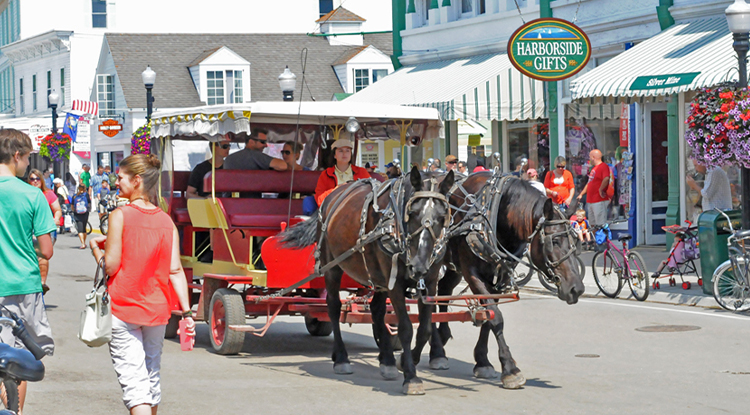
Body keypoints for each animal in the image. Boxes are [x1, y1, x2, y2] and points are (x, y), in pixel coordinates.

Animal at [280, 167, 456, 394]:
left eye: (443, 216)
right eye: (413, 213)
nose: (418, 265)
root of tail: (332, 196)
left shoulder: (430, 282)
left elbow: (424, 329)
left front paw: (404, 361)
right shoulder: (395, 284)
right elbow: (406, 328)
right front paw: (411, 376)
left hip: (379, 278)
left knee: (377, 311)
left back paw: (387, 360)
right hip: (332, 267)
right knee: (333, 307)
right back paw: (341, 358)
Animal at [414, 171, 584, 390]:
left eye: (575, 239)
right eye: (554, 241)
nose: (576, 288)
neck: (495, 217)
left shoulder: (499, 277)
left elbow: (489, 315)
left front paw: (482, 361)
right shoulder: (472, 274)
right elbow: (496, 316)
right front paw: (510, 369)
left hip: (453, 265)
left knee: (443, 290)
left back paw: (442, 339)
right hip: (433, 262)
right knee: (430, 297)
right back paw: (436, 351)